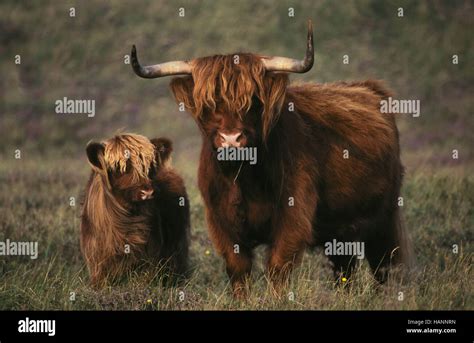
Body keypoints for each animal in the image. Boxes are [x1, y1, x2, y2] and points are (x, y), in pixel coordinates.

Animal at [131, 20, 412, 298]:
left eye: (254, 101)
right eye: (208, 103)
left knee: (385, 264)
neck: (243, 178)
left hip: (384, 216)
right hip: (342, 229)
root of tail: (371, 88)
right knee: (345, 268)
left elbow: (278, 266)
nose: (231, 139)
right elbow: (238, 268)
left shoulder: (293, 217)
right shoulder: (221, 222)